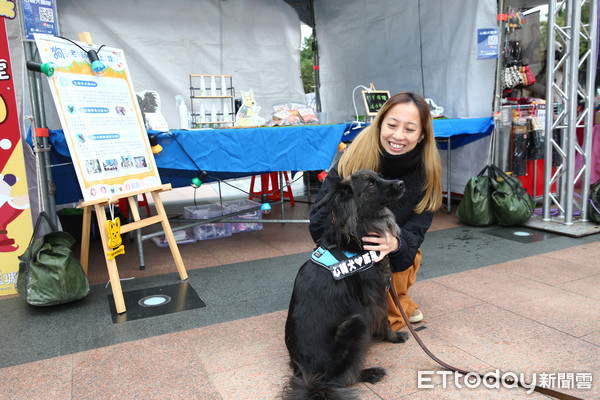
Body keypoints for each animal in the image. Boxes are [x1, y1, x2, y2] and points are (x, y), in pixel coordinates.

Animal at [284, 170, 410, 400]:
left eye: (380, 176)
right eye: (370, 184)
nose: (401, 183)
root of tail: (307, 376)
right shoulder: (375, 295)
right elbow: (384, 319)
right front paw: (393, 337)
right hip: (355, 323)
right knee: (342, 379)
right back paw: (369, 373)